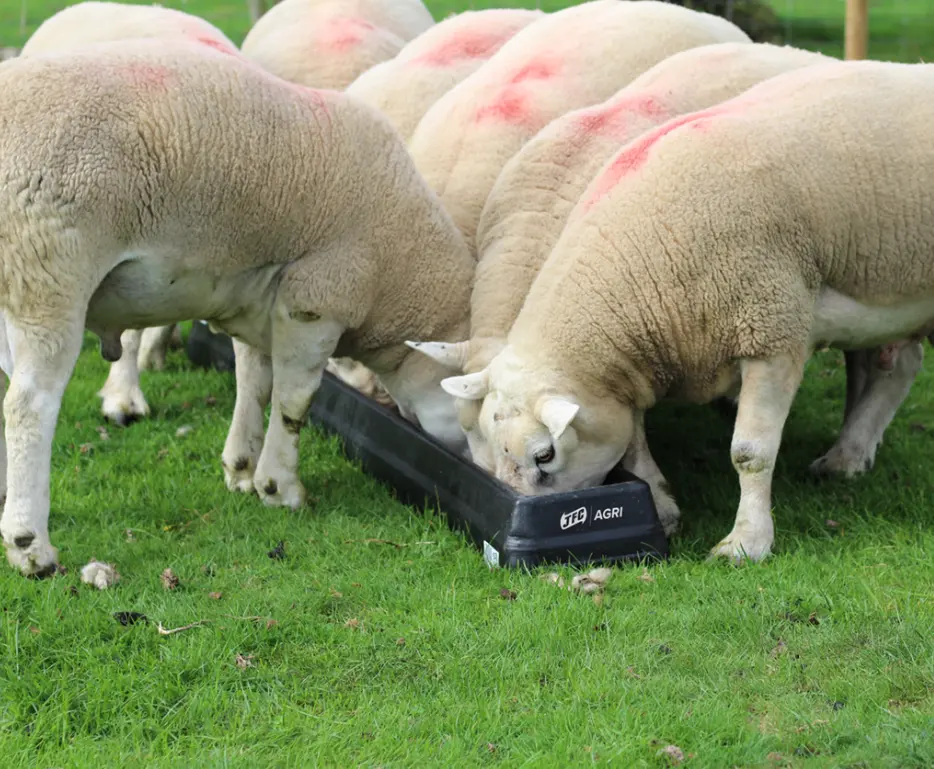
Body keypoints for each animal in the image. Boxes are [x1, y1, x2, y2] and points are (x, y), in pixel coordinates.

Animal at [0, 40, 474, 577]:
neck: (399, 270)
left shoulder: (260, 295)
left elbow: (254, 381)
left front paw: (242, 468)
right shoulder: (317, 298)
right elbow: (295, 400)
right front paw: (279, 487)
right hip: (49, 270)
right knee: (28, 404)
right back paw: (30, 545)